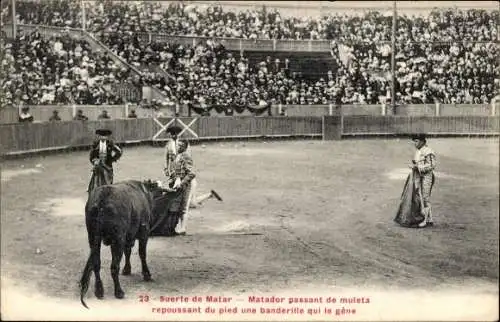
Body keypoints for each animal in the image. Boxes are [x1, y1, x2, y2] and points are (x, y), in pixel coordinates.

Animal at [78, 180, 180, 308]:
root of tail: (102, 198)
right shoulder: (144, 232)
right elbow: (142, 253)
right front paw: (146, 274)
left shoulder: (128, 237)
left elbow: (128, 251)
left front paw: (127, 270)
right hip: (118, 239)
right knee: (114, 266)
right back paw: (119, 292)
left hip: (93, 238)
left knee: (96, 264)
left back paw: (99, 291)